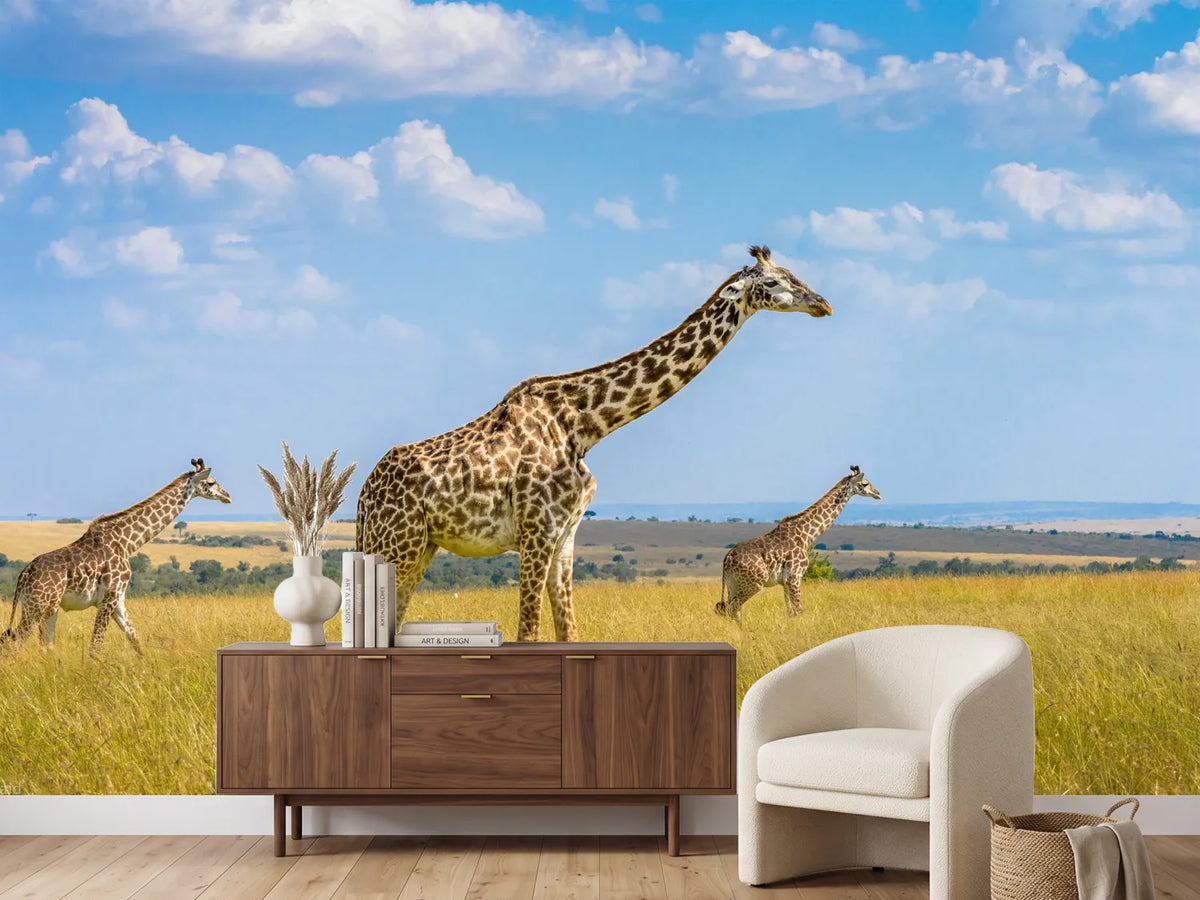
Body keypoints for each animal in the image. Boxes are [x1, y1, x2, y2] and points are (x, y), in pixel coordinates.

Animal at [2, 459, 232, 655]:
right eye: (211, 482)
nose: (227, 495)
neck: (127, 543)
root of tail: (23, 575)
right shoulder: (109, 597)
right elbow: (96, 647)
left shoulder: (119, 600)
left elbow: (135, 640)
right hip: (36, 607)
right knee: (14, 644)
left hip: (47, 608)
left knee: (45, 646)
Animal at [358, 245, 833, 641]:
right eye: (774, 282)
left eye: (794, 274)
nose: (822, 304)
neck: (583, 425)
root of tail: (364, 496)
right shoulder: (536, 531)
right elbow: (528, 633)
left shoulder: (564, 536)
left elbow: (568, 631)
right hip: (395, 544)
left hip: (420, 547)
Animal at [717, 465, 881, 620]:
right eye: (865, 483)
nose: (878, 493)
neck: (806, 535)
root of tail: (727, 559)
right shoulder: (795, 576)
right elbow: (799, 610)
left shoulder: (785, 581)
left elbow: (791, 612)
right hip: (754, 583)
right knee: (733, 608)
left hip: (733, 583)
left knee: (730, 609)